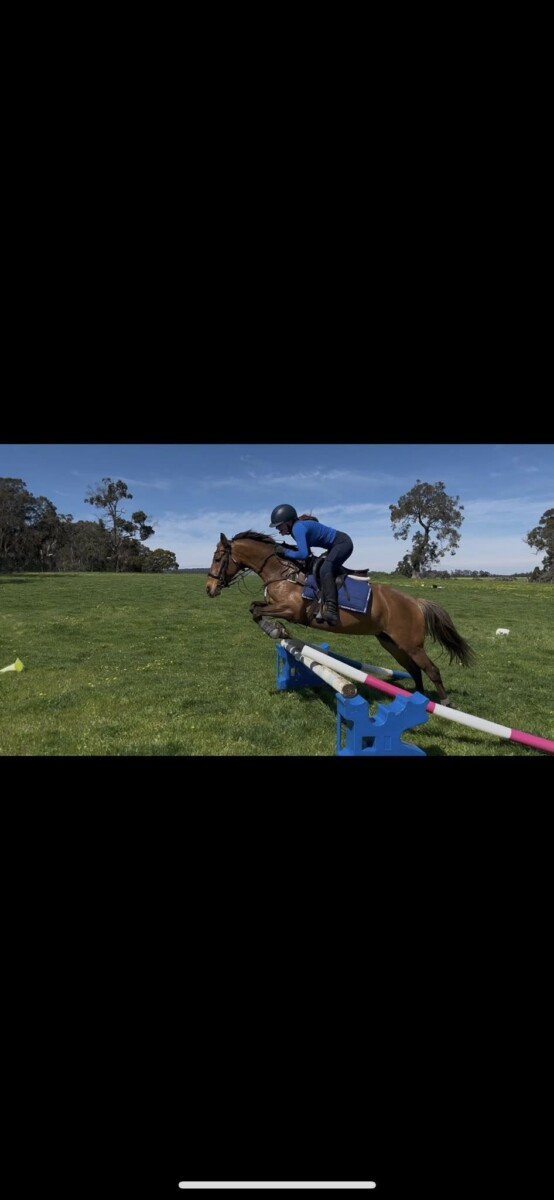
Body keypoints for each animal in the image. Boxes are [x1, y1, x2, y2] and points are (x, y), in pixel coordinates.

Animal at [205, 530, 476, 705]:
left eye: (218, 558)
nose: (209, 589)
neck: (282, 572)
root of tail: (415, 602)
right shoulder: (274, 604)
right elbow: (254, 607)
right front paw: (275, 630)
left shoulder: (292, 610)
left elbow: (258, 611)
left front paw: (276, 629)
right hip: (391, 642)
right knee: (414, 669)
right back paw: (416, 698)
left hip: (411, 644)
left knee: (431, 669)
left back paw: (444, 703)